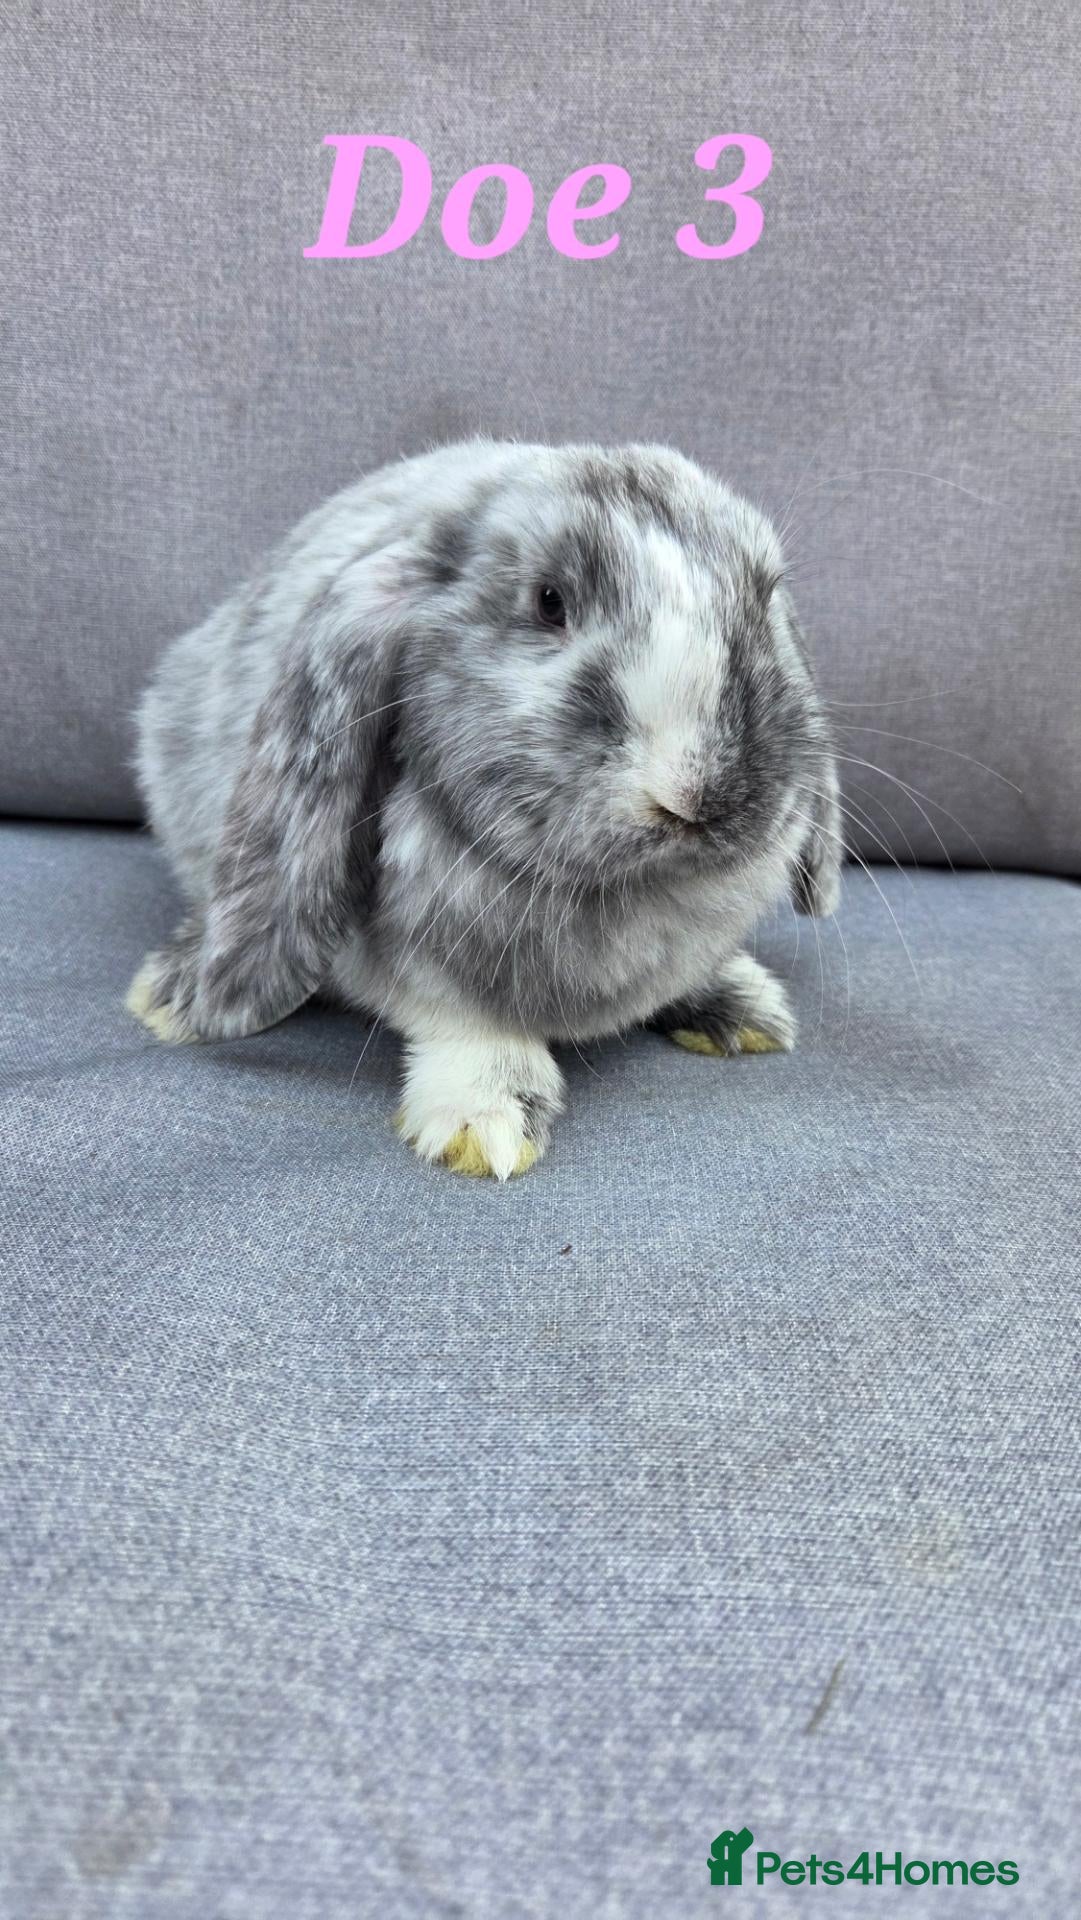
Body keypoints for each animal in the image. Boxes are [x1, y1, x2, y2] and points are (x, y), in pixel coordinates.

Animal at [128, 438, 842, 1179]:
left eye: (764, 593)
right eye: (549, 601)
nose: (698, 798)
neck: (632, 892)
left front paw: (737, 1005)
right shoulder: (424, 959)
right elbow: (468, 1028)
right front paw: (485, 1125)